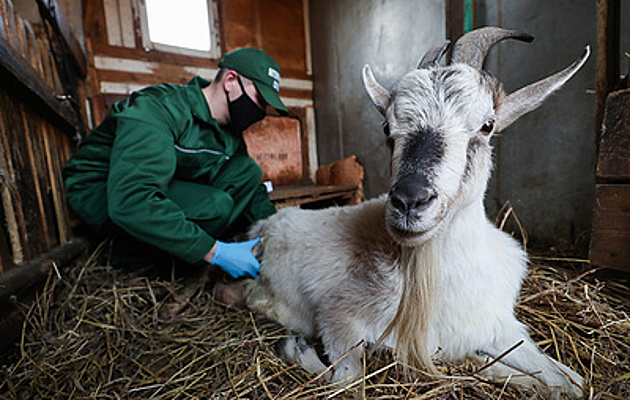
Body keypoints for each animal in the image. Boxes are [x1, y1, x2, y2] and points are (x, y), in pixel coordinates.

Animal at [243, 27, 592, 396]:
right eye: (386, 127)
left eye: (487, 125)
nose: (410, 201)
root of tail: (263, 226)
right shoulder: (339, 316)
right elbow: (348, 380)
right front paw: (297, 349)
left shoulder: (498, 327)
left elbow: (572, 381)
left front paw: (496, 368)